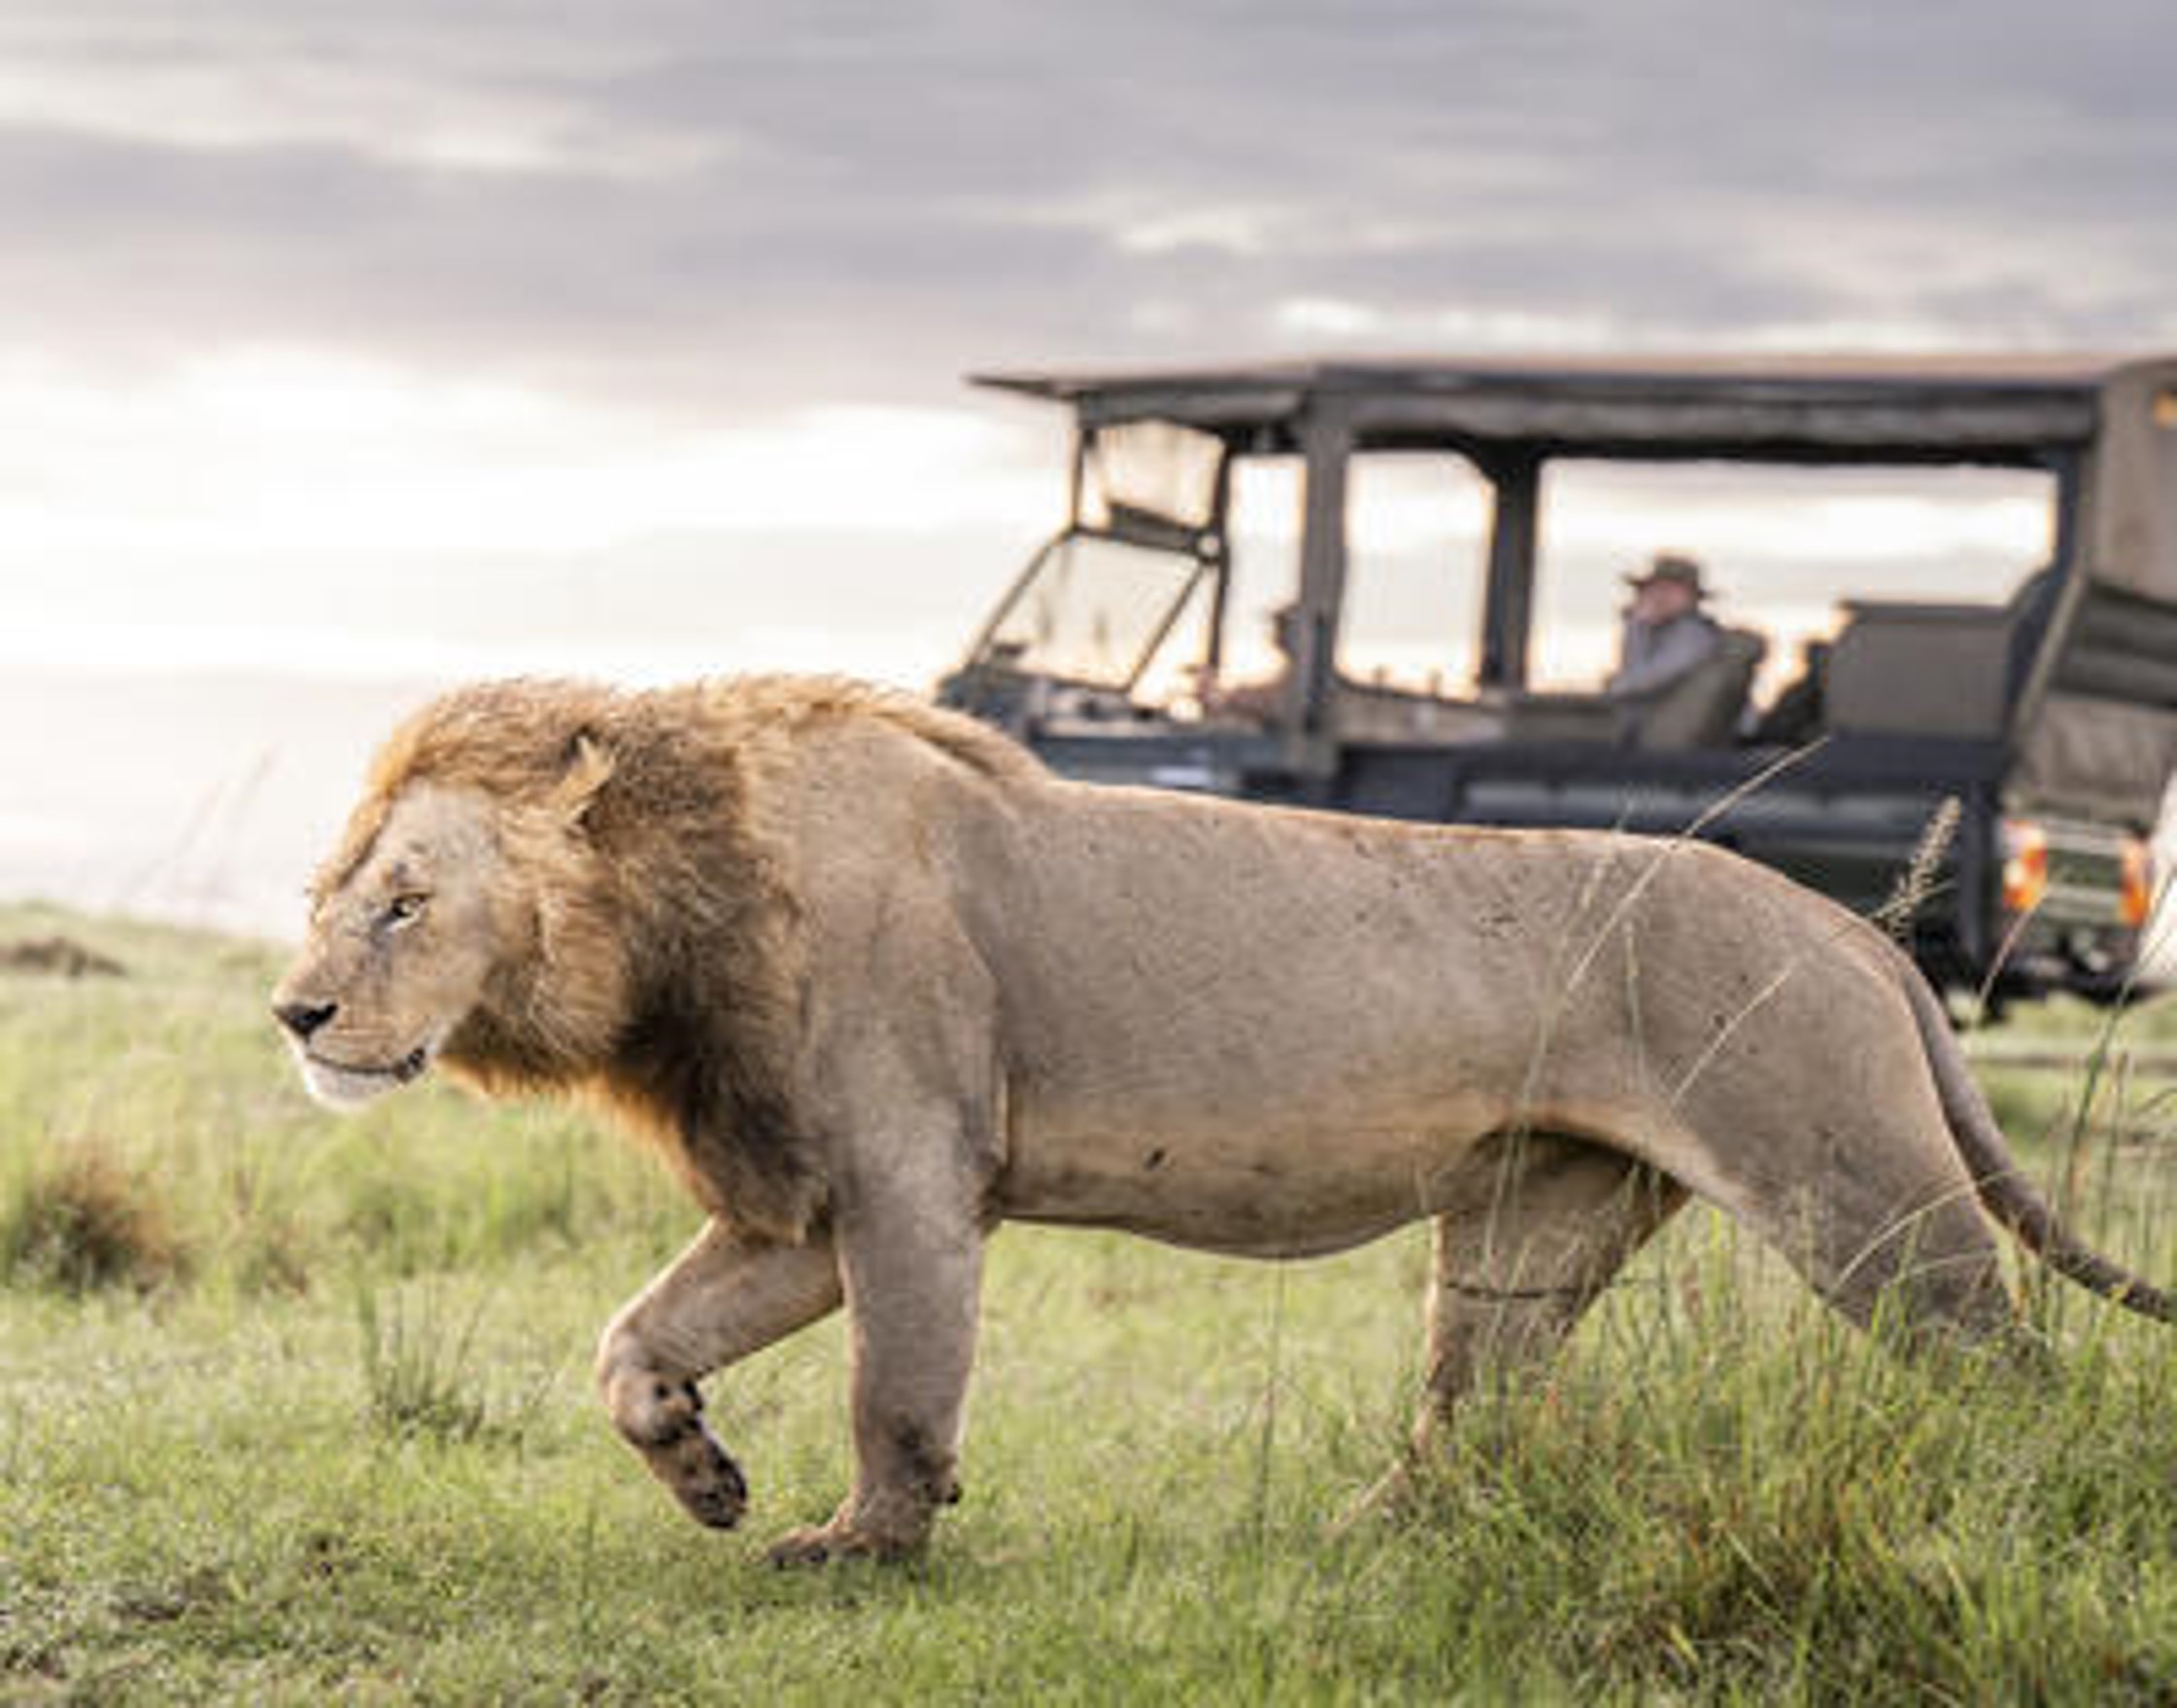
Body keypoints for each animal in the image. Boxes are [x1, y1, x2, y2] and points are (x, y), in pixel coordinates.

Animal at [272, 674, 2173, 1564]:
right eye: (326, 895)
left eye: (403, 904)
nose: (294, 1013)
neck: (677, 906)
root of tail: (1860, 928)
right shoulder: (797, 1200)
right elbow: (627, 1338)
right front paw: (704, 1472)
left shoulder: (906, 1174)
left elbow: (899, 1389)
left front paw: (860, 1544)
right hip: (1526, 1230)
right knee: (1473, 1412)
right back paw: (1365, 1534)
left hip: (1859, 1196)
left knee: (2014, 1366)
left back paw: (2031, 1497)